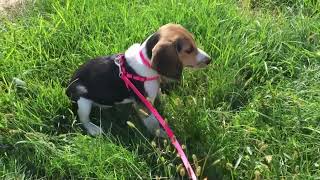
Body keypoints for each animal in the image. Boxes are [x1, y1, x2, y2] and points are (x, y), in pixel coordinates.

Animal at [65, 23, 210, 136]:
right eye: (189, 50)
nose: (209, 60)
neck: (146, 61)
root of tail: (67, 88)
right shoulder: (143, 106)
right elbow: (153, 123)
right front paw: (164, 136)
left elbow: (159, 95)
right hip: (82, 99)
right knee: (83, 118)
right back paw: (93, 129)